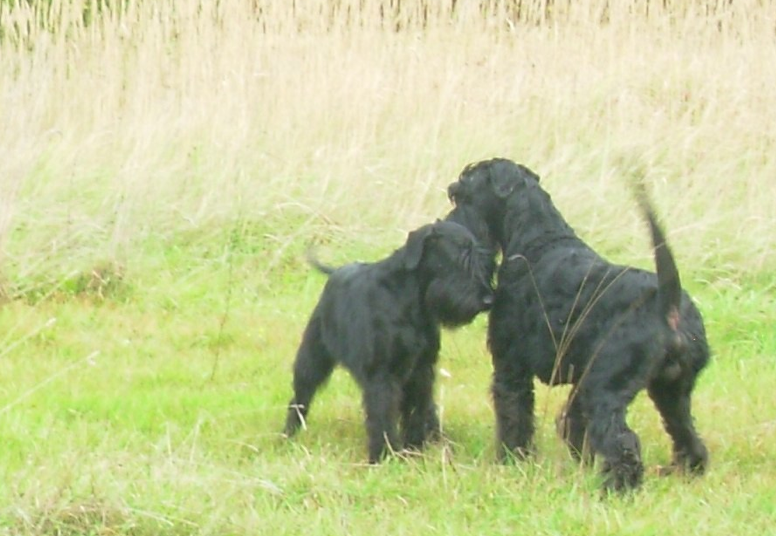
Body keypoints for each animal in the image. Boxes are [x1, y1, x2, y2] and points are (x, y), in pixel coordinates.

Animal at [284, 220, 492, 462]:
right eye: (460, 259)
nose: (488, 299)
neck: (411, 301)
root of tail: (337, 272)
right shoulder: (382, 374)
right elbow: (382, 415)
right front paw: (384, 454)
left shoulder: (422, 371)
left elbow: (418, 409)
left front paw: (415, 446)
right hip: (312, 358)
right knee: (301, 395)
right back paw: (289, 433)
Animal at [448, 157, 708, 492]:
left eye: (461, 195)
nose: (449, 223)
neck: (536, 239)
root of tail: (668, 302)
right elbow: (573, 420)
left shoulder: (511, 366)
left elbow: (514, 414)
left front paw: (512, 459)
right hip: (672, 391)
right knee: (685, 430)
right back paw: (688, 470)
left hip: (608, 388)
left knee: (623, 441)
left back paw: (616, 488)